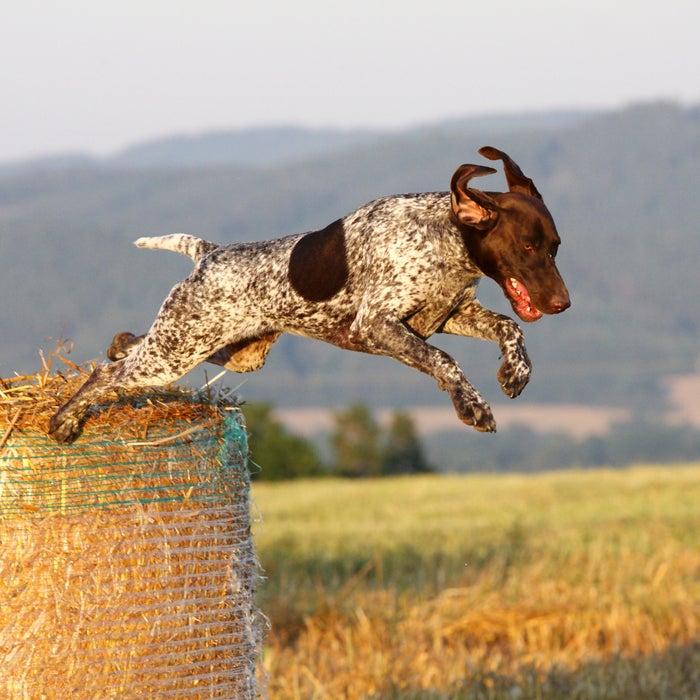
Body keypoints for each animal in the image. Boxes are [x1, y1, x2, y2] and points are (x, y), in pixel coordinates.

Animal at [47, 147, 568, 442]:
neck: (444, 237)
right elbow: (445, 361)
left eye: (556, 246)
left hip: (230, 350)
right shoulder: (377, 325)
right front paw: (473, 405)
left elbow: (510, 326)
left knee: (127, 348)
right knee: (105, 375)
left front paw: (516, 371)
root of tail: (209, 253)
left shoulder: (447, 316)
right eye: (526, 247)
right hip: (177, 353)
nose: (563, 304)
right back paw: (65, 420)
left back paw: (118, 345)